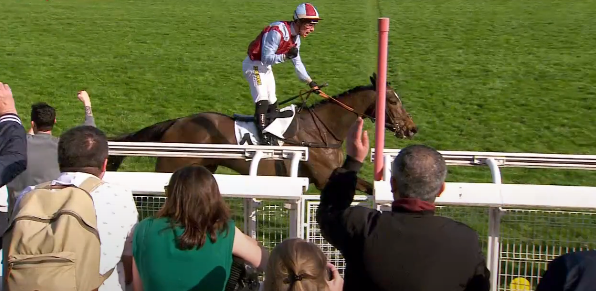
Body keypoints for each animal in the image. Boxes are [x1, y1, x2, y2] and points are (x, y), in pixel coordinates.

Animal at [107, 74, 416, 195]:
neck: (322, 129)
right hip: (168, 168)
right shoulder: (323, 177)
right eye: (393, 100)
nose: (412, 128)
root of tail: (176, 122)